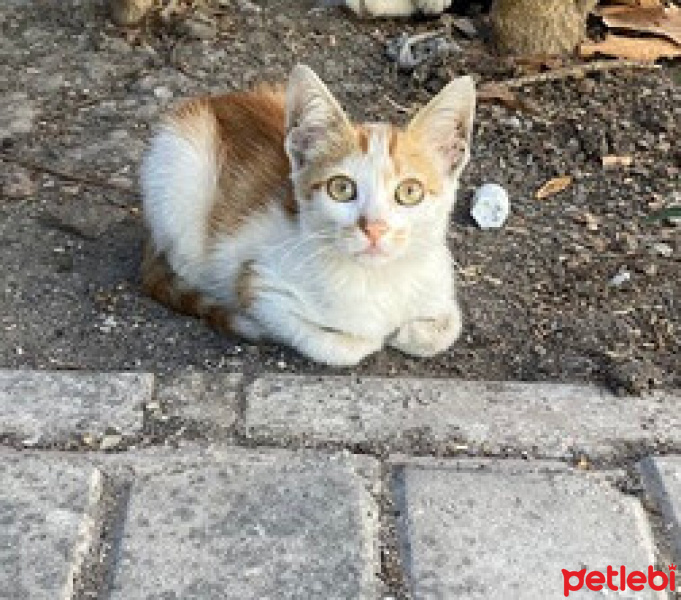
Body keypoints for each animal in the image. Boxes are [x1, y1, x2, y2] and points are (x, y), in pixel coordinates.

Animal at [141, 64, 476, 366]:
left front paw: (412, 331)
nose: (374, 228)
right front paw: (372, 337)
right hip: (180, 171)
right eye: (341, 188)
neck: (378, 278)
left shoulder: (437, 274)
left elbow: (450, 325)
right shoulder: (258, 283)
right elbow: (339, 345)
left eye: (409, 192)